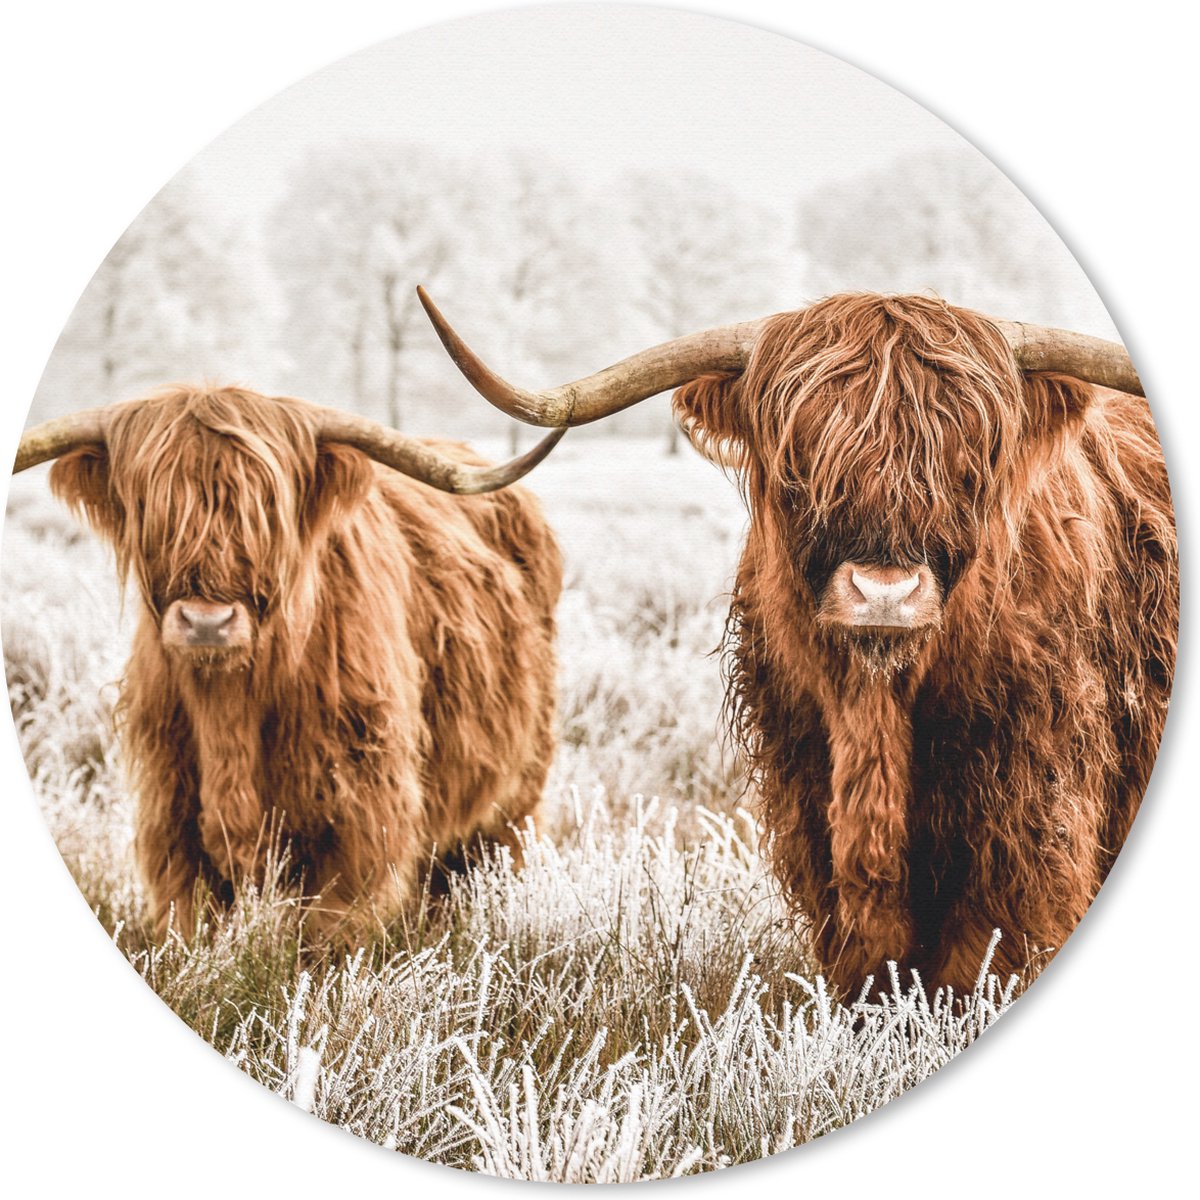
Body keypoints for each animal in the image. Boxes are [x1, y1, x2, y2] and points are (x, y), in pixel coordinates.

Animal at [14, 386, 565, 941]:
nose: (207, 622)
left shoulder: (360, 815)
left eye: (268, 508)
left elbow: (330, 931)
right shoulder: (170, 814)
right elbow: (190, 921)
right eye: (150, 505)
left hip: (516, 793)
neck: (229, 708)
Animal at [416, 286, 1178, 998]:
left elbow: (981, 962)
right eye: (800, 463)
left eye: (970, 463)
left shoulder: (1028, 819)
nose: (884, 593)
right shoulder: (808, 797)